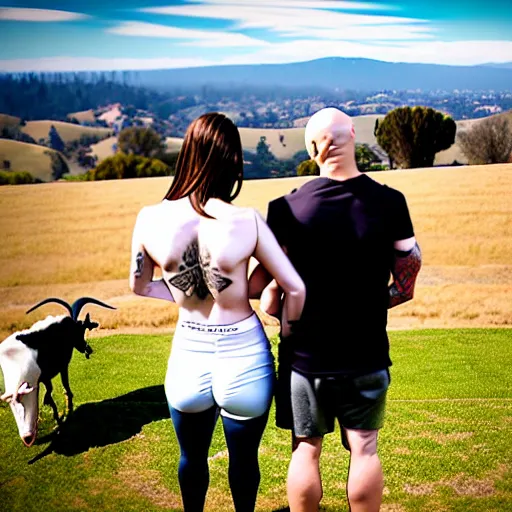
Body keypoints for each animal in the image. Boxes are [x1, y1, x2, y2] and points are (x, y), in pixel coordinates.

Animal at [0, 298, 114, 446]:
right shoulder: (62, 366)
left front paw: (57, 416)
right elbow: (63, 388)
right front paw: (66, 411)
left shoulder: (44, 377)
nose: (87, 349)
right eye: (80, 330)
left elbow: (50, 392)